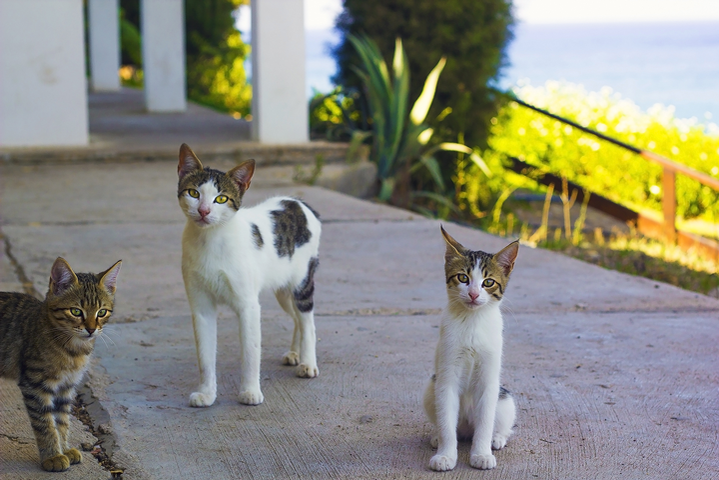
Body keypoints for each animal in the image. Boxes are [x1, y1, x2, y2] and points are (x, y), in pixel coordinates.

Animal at [0, 256, 121, 470]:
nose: (91, 329)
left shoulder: (66, 386)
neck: (73, 351)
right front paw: (52, 455)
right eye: (76, 311)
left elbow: (62, 420)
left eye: (101, 312)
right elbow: (45, 422)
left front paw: (63, 448)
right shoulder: (35, 384)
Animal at [177, 143, 320, 408]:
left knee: (308, 322)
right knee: (297, 319)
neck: (211, 240)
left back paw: (308, 363)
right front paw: (207, 393)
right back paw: (295, 353)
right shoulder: (201, 307)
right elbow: (205, 355)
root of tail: (299, 202)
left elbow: (251, 352)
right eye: (193, 193)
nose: (203, 211)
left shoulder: (248, 306)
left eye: (221, 198)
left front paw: (251, 391)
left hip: (302, 283)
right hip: (282, 291)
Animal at [422, 227, 516, 470]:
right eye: (463, 278)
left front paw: (481, 454)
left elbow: (485, 422)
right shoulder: (446, 376)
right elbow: (446, 421)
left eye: (488, 282)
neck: (472, 321)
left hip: (504, 398)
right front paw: (446, 455)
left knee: (502, 423)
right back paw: (437, 437)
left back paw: (496, 438)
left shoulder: (489, 380)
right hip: (431, 388)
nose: (473, 294)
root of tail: (466, 430)